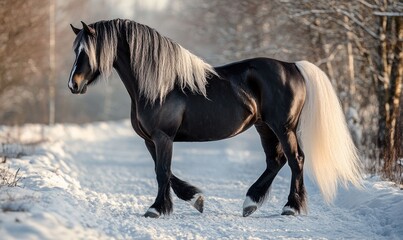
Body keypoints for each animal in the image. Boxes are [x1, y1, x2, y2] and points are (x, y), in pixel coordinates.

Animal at [69, 19, 362, 218]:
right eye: (75, 50)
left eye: (86, 51)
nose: (73, 84)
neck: (159, 85)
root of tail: (293, 66)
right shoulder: (150, 140)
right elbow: (166, 172)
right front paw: (195, 198)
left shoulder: (163, 137)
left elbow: (162, 171)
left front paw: (157, 209)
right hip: (264, 126)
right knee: (275, 161)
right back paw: (250, 203)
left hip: (283, 127)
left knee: (295, 159)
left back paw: (290, 207)